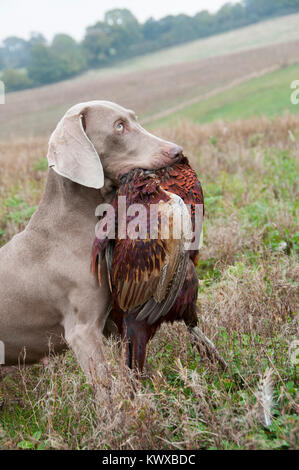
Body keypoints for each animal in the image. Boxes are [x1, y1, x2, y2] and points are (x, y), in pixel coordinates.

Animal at [0, 101, 183, 384]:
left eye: (134, 119)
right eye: (119, 127)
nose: (177, 151)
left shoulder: (111, 321)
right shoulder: (82, 332)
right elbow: (107, 388)